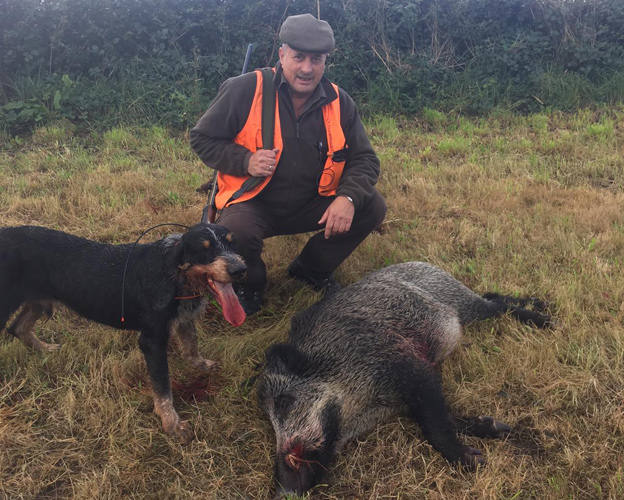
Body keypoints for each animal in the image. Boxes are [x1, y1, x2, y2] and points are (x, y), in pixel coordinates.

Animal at [0, 225, 249, 440]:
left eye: (232, 242)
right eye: (204, 249)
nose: (240, 270)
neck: (174, 275)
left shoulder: (183, 319)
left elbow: (191, 346)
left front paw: (202, 364)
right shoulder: (152, 341)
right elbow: (163, 387)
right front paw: (171, 423)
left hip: (37, 301)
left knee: (18, 327)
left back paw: (45, 349)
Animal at [258, 260, 552, 494]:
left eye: (284, 402)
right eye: (268, 420)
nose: (283, 491)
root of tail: (424, 263)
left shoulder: (407, 364)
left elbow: (435, 425)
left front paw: (475, 462)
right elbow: (446, 417)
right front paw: (497, 428)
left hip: (462, 302)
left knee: (496, 305)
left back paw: (547, 320)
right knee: (494, 297)